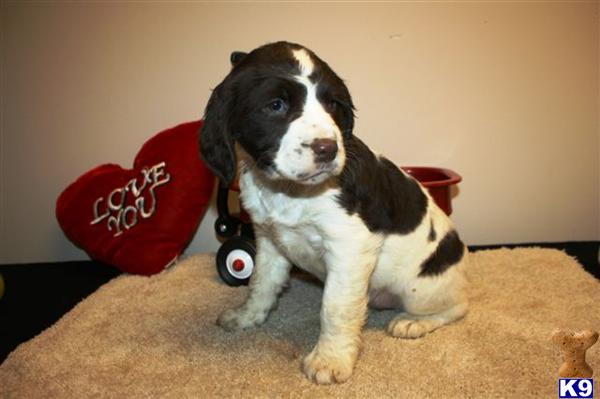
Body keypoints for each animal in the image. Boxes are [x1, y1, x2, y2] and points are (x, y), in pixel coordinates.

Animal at [202, 42, 468, 386]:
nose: (327, 149)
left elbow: (335, 306)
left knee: (458, 306)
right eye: (276, 105)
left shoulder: (349, 246)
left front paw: (330, 359)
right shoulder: (268, 240)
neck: (289, 191)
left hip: (420, 288)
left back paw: (413, 322)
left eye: (332, 104)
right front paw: (246, 317)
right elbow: (261, 282)